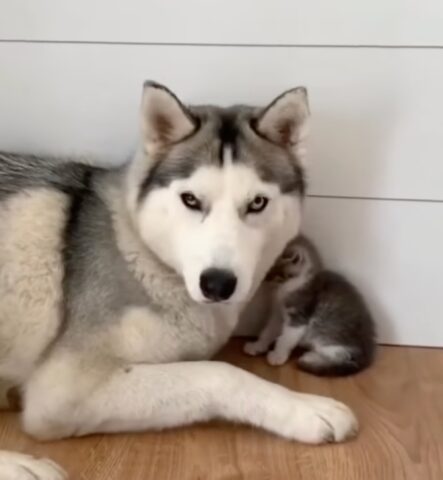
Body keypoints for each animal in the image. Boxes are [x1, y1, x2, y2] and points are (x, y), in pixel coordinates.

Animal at [0, 83, 358, 480]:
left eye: (257, 203)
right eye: (190, 199)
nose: (217, 284)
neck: (141, 252)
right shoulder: (63, 394)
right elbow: (220, 374)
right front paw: (305, 409)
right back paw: (22, 466)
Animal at [245, 236, 376, 376]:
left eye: (273, 271)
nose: (263, 278)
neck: (288, 286)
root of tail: (367, 354)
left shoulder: (298, 316)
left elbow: (286, 338)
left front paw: (278, 355)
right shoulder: (278, 314)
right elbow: (268, 331)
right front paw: (257, 346)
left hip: (323, 328)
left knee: (341, 355)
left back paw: (311, 357)